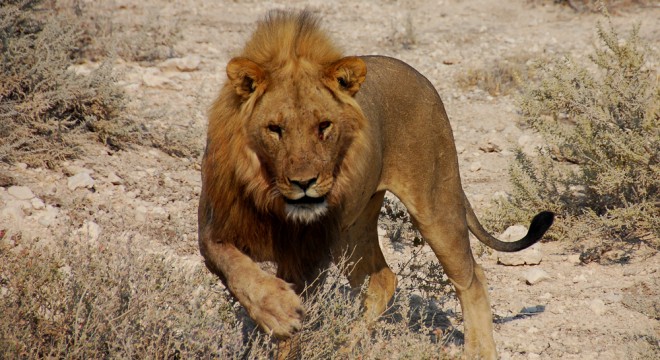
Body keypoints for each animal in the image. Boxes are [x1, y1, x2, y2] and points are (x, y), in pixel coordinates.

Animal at [199, 9, 556, 358]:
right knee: (382, 280)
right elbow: (236, 269)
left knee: (472, 277)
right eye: (275, 129)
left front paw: (283, 317)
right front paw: (276, 309)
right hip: (351, 230)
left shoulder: (306, 256)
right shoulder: (213, 228)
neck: (269, 194)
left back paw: (478, 352)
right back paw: (346, 347)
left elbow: (293, 324)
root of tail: (416, 74)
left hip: (434, 204)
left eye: (324, 126)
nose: (304, 182)